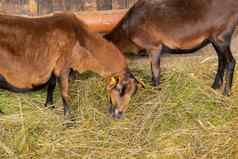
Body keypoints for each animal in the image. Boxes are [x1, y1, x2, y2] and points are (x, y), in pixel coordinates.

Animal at [0, 12, 141, 118]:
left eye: (133, 93)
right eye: (120, 89)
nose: (119, 115)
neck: (81, 38)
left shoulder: (55, 66)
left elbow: (51, 85)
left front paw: (49, 105)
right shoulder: (63, 67)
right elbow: (64, 93)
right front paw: (68, 119)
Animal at [105, 0, 238, 95]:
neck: (126, 31)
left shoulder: (154, 46)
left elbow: (155, 71)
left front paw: (156, 91)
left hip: (221, 36)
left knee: (231, 61)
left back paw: (226, 92)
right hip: (214, 38)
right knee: (222, 60)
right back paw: (215, 86)